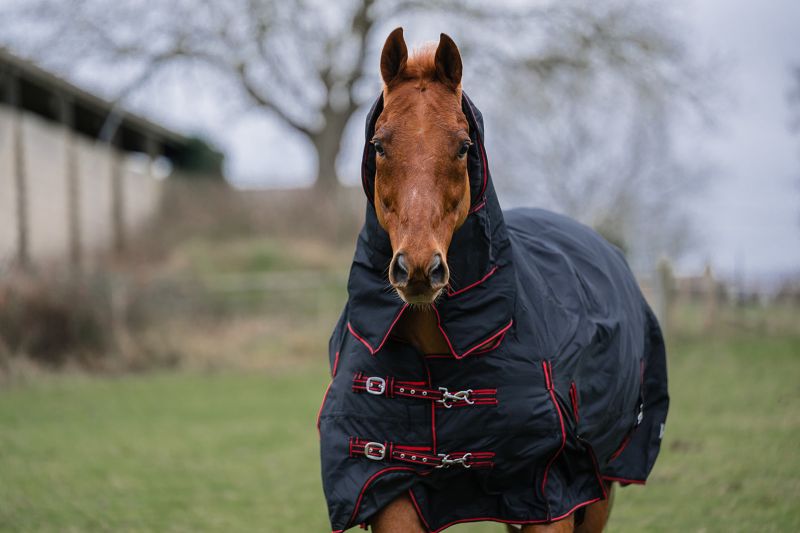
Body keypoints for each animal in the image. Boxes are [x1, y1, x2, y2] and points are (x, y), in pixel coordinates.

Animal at [318, 28, 669, 533]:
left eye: (464, 145)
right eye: (379, 145)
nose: (419, 267)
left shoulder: (553, 492)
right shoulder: (386, 488)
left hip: (601, 486)